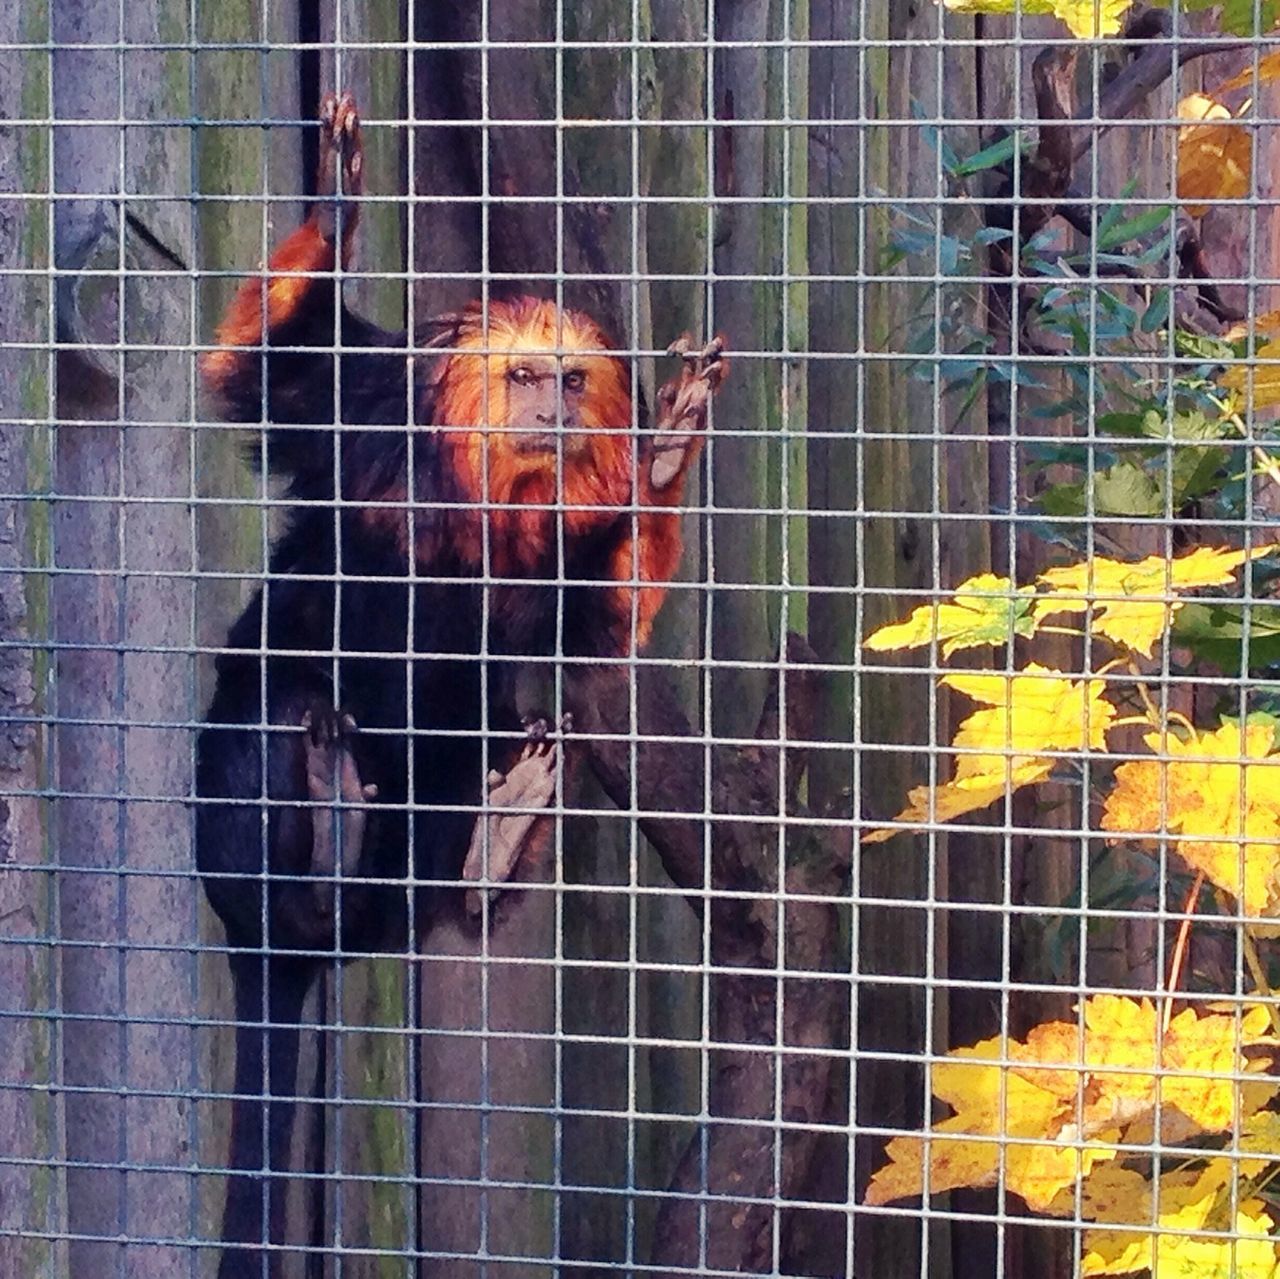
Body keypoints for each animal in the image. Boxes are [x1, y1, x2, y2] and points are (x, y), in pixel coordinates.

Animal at [194, 92, 727, 1279]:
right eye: (522, 378)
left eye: (571, 382)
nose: (552, 410)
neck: (499, 491)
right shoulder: (367, 406)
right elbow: (268, 368)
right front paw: (334, 214)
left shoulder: (570, 562)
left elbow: (600, 620)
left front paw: (666, 461)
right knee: (277, 712)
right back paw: (317, 838)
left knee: (471, 757)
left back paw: (484, 843)